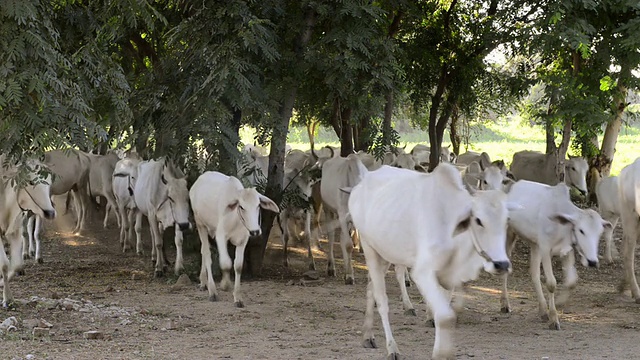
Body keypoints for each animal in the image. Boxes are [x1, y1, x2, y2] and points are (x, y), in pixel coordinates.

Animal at [0, 158, 56, 306]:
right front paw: (7, 299)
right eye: (31, 182)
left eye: (49, 183)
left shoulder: (15, 231)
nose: (50, 212)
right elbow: (4, 265)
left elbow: (16, 264)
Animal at [191, 172, 278, 306]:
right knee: (206, 253)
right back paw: (212, 290)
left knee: (203, 251)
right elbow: (226, 263)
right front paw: (225, 284)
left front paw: (238, 298)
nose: (255, 231)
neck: (235, 219)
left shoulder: (243, 241)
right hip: (200, 224)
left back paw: (203, 282)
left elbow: (238, 266)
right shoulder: (220, 236)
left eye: (258, 205)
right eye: (241, 207)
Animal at [318, 153, 368, 282]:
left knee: (342, 238)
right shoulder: (342, 215)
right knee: (332, 237)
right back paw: (331, 268)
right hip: (328, 209)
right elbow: (348, 245)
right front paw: (350, 275)